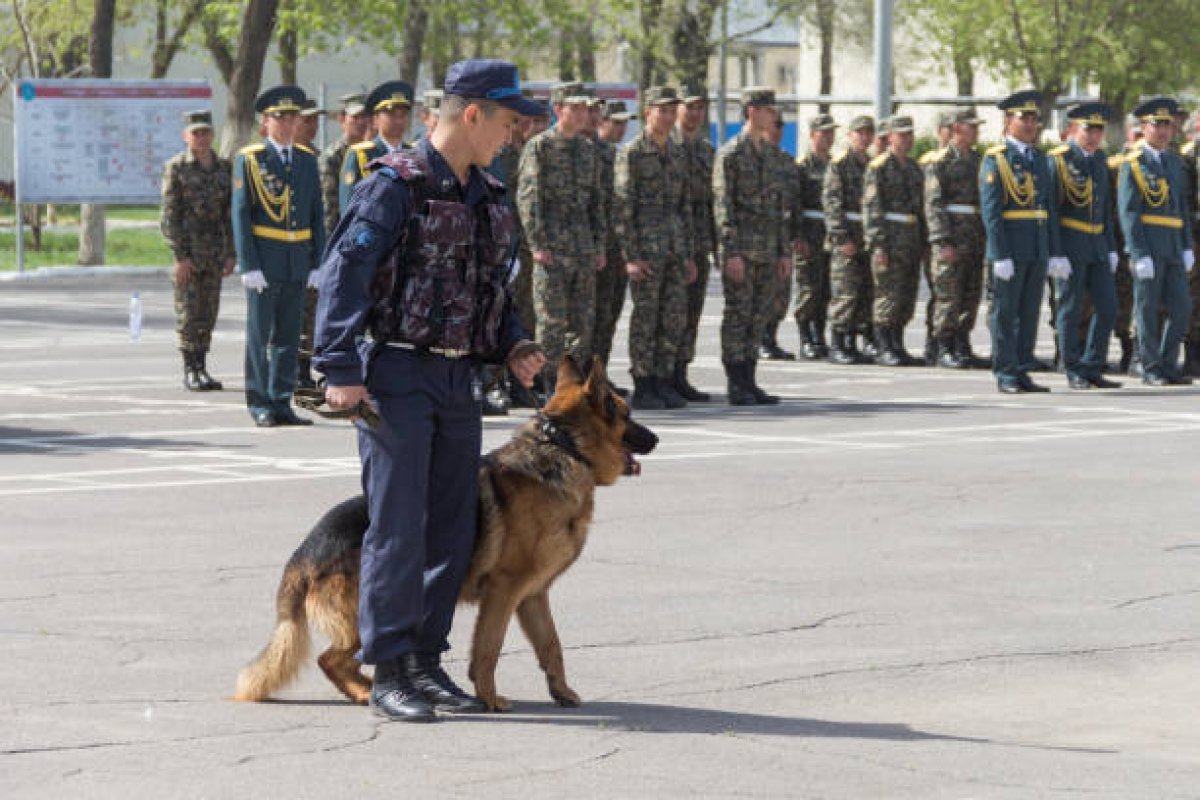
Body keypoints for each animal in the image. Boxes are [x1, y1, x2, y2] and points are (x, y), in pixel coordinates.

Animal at [232, 357, 657, 714]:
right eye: (627, 415)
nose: (655, 439)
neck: (566, 448)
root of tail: (305, 551)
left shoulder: (533, 595)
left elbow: (551, 646)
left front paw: (562, 692)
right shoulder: (504, 592)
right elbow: (488, 648)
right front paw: (490, 698)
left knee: (336, 660)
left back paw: (373, 691)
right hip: (362, 617)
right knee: (332, 658)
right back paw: (375, 693)